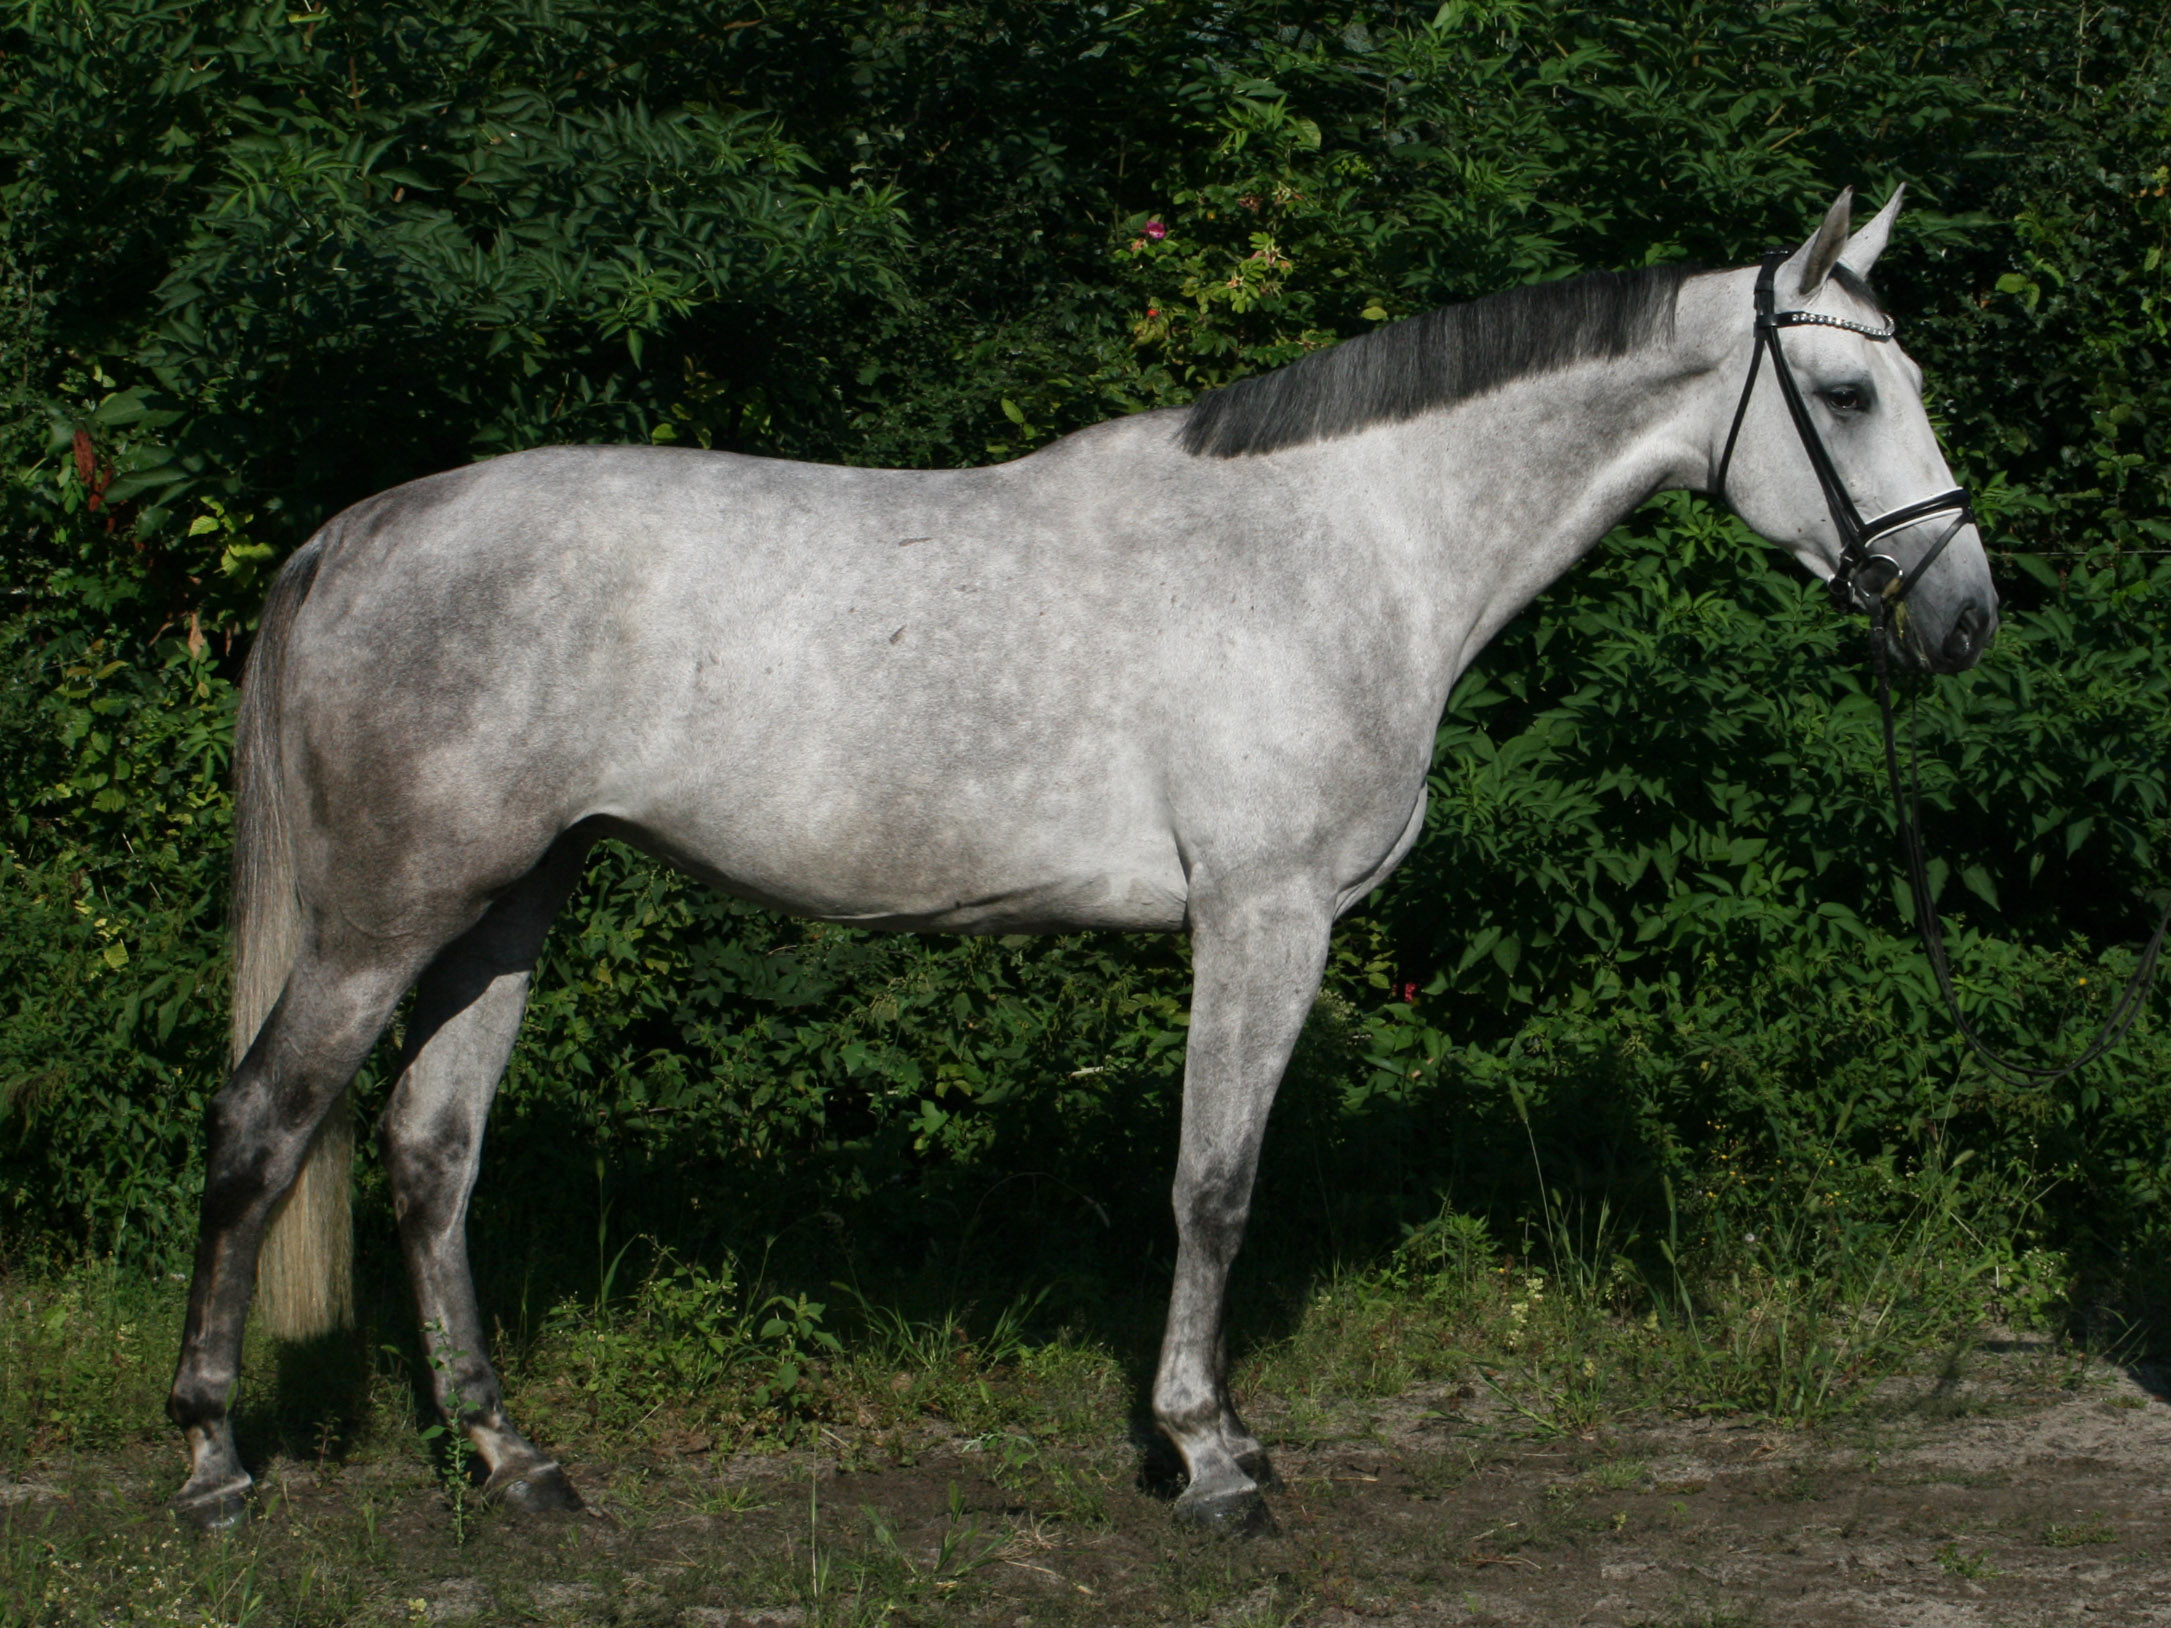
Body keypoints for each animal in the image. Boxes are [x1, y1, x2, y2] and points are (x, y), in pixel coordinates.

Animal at [166, 188, 1997, 1531]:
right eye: (1846, 395)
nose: (1961, 615)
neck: (1340, 543)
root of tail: (351, 536)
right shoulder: (1261, 918)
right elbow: (1214, 1184)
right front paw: (1211, 1457)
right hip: (388, 915)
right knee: (261, 1128)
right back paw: (211, 1466)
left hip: (510, 902)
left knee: (429, 1151)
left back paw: (514, 1463)